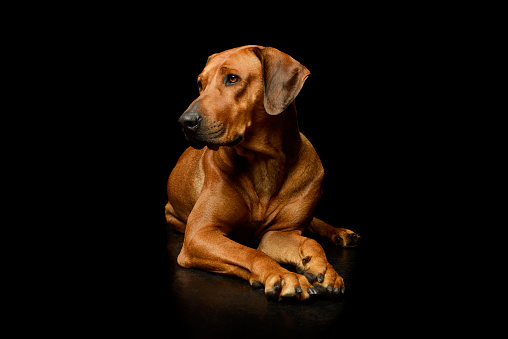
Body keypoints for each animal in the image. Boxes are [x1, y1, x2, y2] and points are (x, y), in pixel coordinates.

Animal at [165, 45, 360, 302]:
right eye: (200, 83)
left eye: (233, 78)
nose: (185, 121)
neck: (263, 162)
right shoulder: (199, 234)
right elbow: (249, 252)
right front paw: (284, 276)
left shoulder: (278, 233)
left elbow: (310, 242)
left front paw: (324, 268)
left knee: (313, 224)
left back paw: (339, 233)